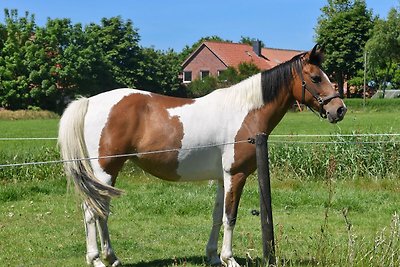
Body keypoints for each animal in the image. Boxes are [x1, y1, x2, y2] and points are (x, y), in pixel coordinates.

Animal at [58, 45, 346, 266]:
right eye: (316, 78)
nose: (339, 109)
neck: (245, 111)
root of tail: (90, 102)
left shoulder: (221, 178)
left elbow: (217, 216)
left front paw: (214, 256)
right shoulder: (235, 175)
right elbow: (230, 217)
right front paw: (230, 259)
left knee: (99, 211)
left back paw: (110, 257)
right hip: (105, 171)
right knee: (92, 212)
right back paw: (98, 259)